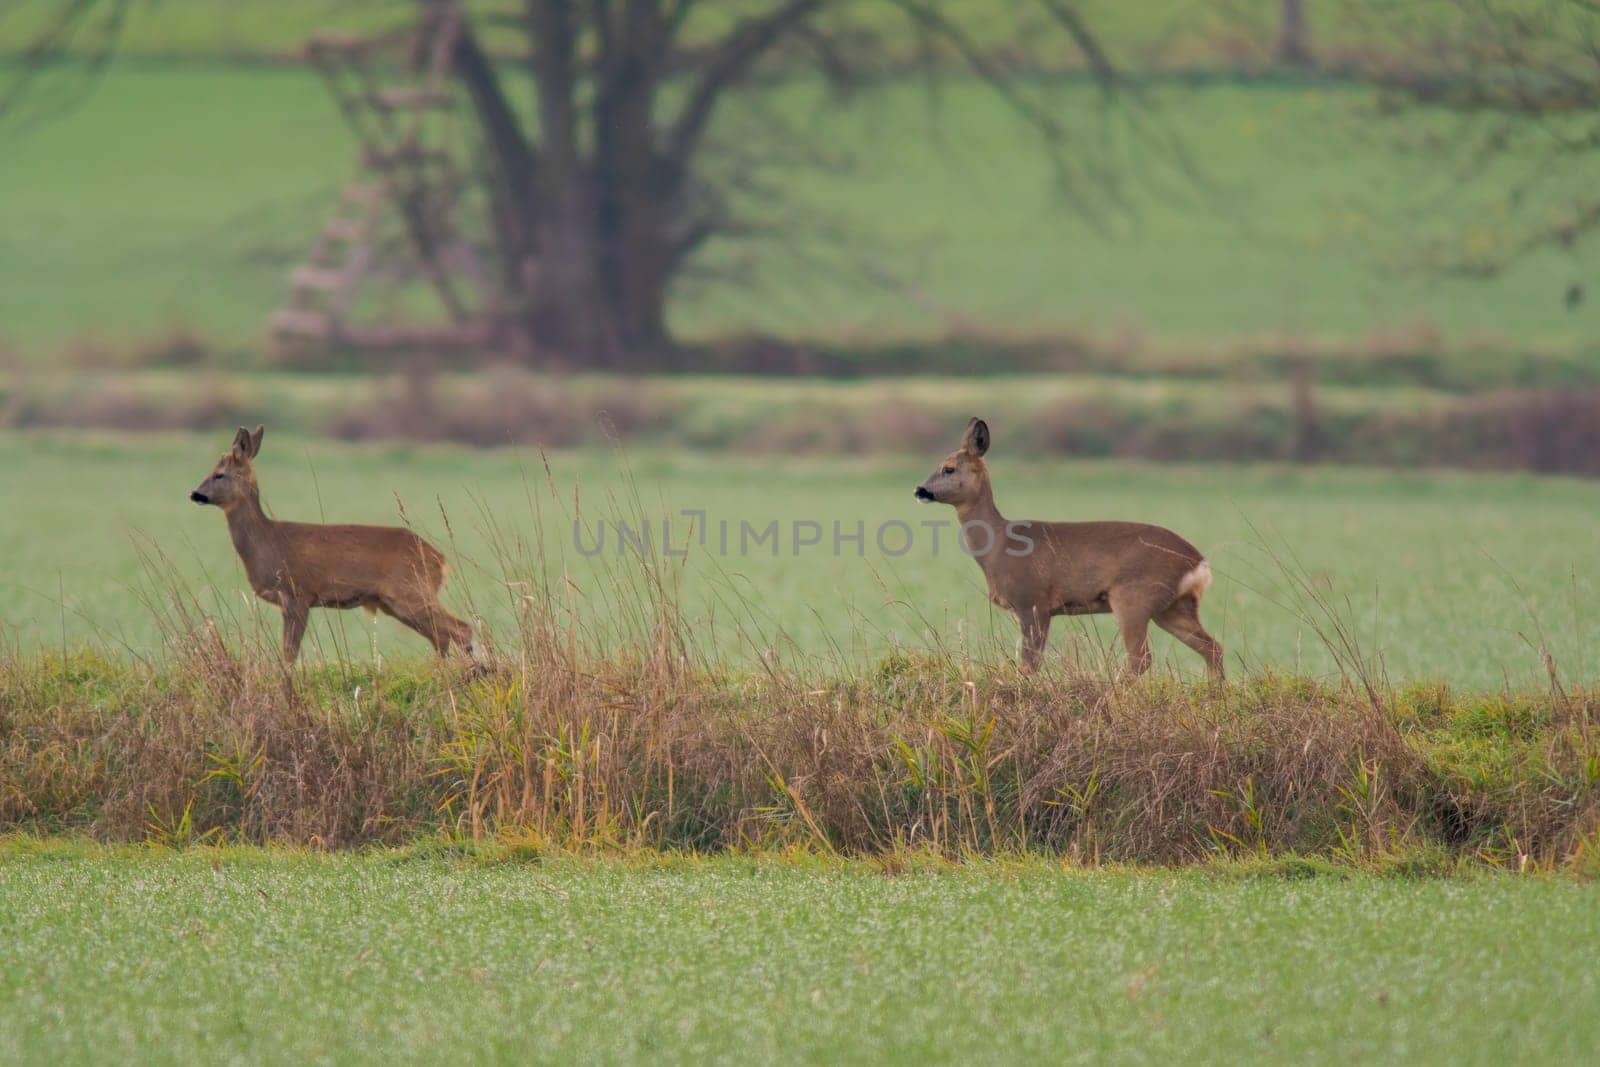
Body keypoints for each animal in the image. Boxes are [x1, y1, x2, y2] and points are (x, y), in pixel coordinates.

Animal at [191, 428, 476, 668]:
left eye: (219, 474)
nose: (194, 493)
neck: (266, 542)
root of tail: (441, 560)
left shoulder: (297, 594)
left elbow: (289, 653)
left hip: (411, 592)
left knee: (461, 628)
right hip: (396, 602)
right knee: (441, 636)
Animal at [915, 415, 1222, 675]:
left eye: (948, 468)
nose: (920, 490)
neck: (999, 546)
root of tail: (1198, 563)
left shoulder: (1033, 601)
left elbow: (1029, 664)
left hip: (1134, 597)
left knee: (1141, 658)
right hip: (1174, 606)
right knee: (1212, 648)